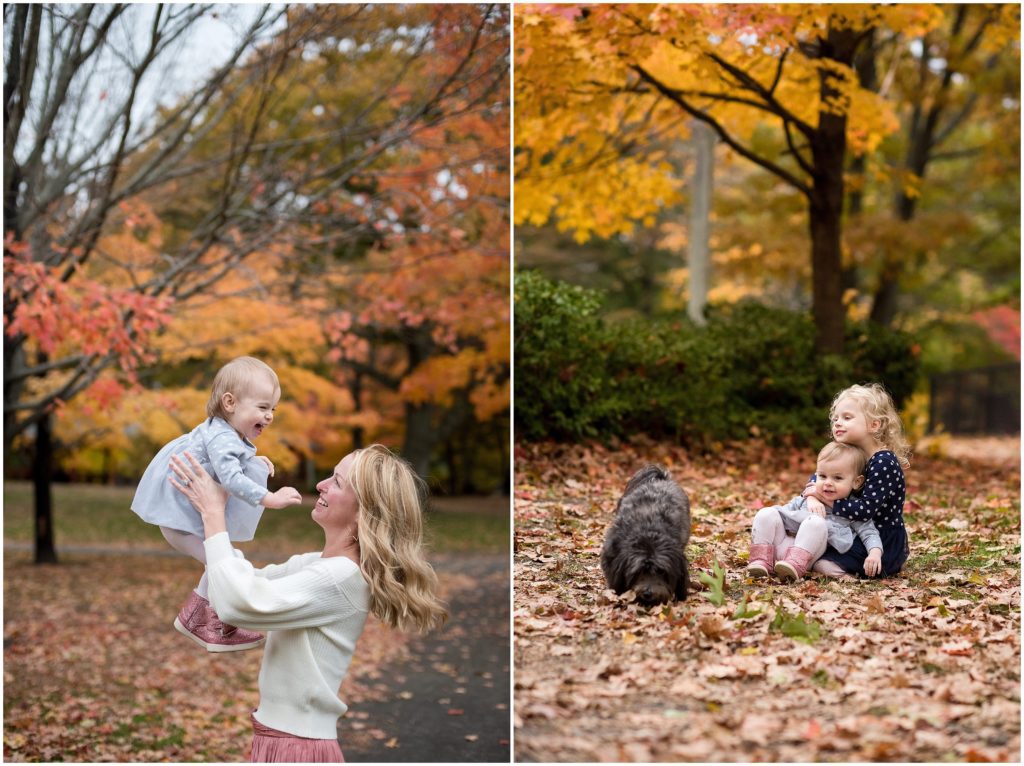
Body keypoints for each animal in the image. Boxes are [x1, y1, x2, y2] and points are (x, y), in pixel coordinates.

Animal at [598, 462, 688, 606]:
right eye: (639, 572)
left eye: (661, 572)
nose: (648, 593)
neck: (649, 531)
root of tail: (660, 479)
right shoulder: (611, 555)